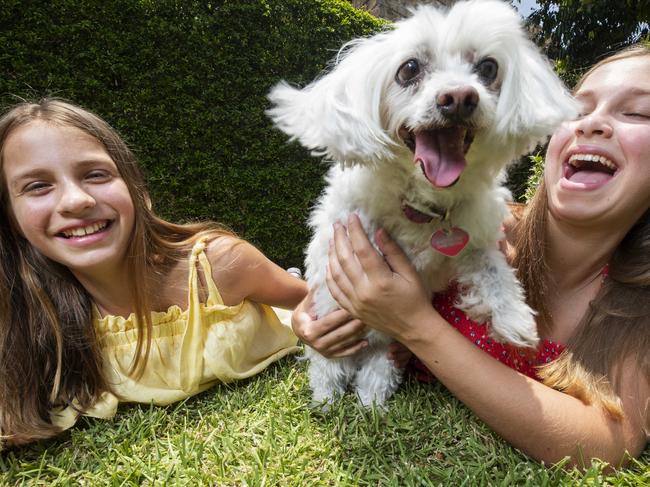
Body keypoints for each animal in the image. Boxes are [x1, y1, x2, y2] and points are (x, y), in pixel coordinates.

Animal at [266, 0, 576, 408]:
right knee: (328, 371)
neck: (423, 206)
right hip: (332, 351)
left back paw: (371, 403)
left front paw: (514, 319)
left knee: (374, 378)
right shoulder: (349, 233)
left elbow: (492, 268)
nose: (459, 97)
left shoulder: (470, 240)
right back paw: (326, 399)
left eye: (488, 68)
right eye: (409, 69)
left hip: (383, 355)